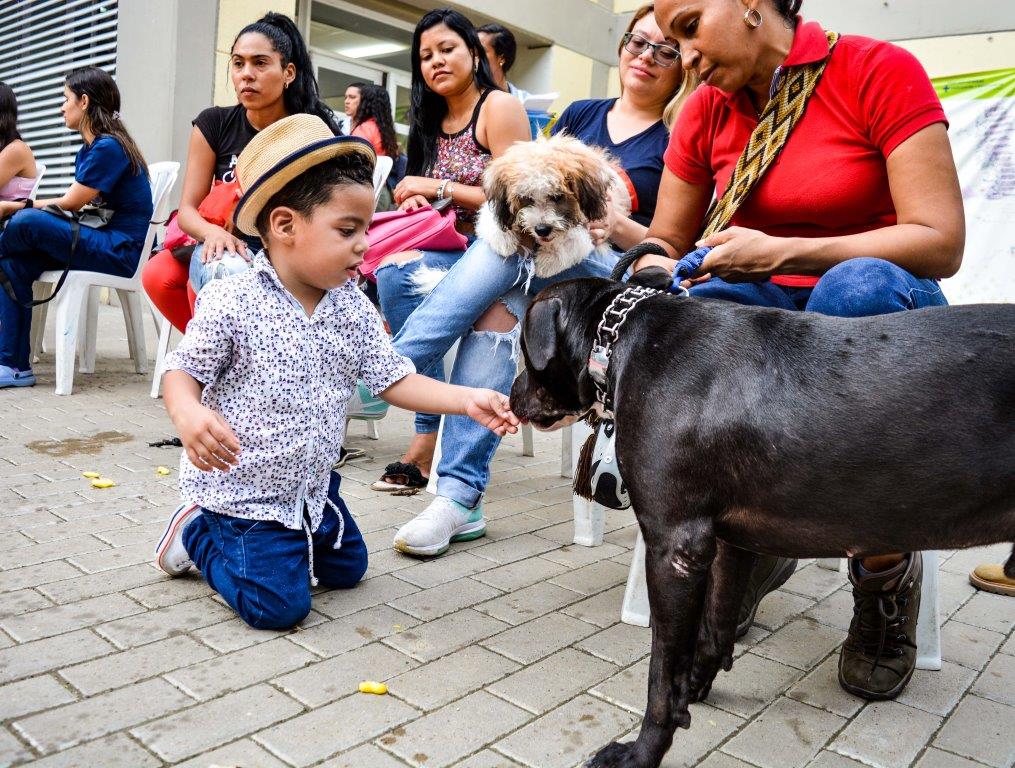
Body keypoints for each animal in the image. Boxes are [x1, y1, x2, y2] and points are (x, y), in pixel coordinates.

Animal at [472, 134, 625, 277]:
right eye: (526, 198)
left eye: (557, 197)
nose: (542, 229)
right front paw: (503, 239)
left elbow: (575, 240)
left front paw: (549, 259)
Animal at [511, 277, 1010, 766]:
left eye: (521, 347)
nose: (511, 397)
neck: (622, 337)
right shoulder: (729, 543)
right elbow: (714, 631)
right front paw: (693, 692)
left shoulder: (674, 547)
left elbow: (661, 675)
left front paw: (642, 752)